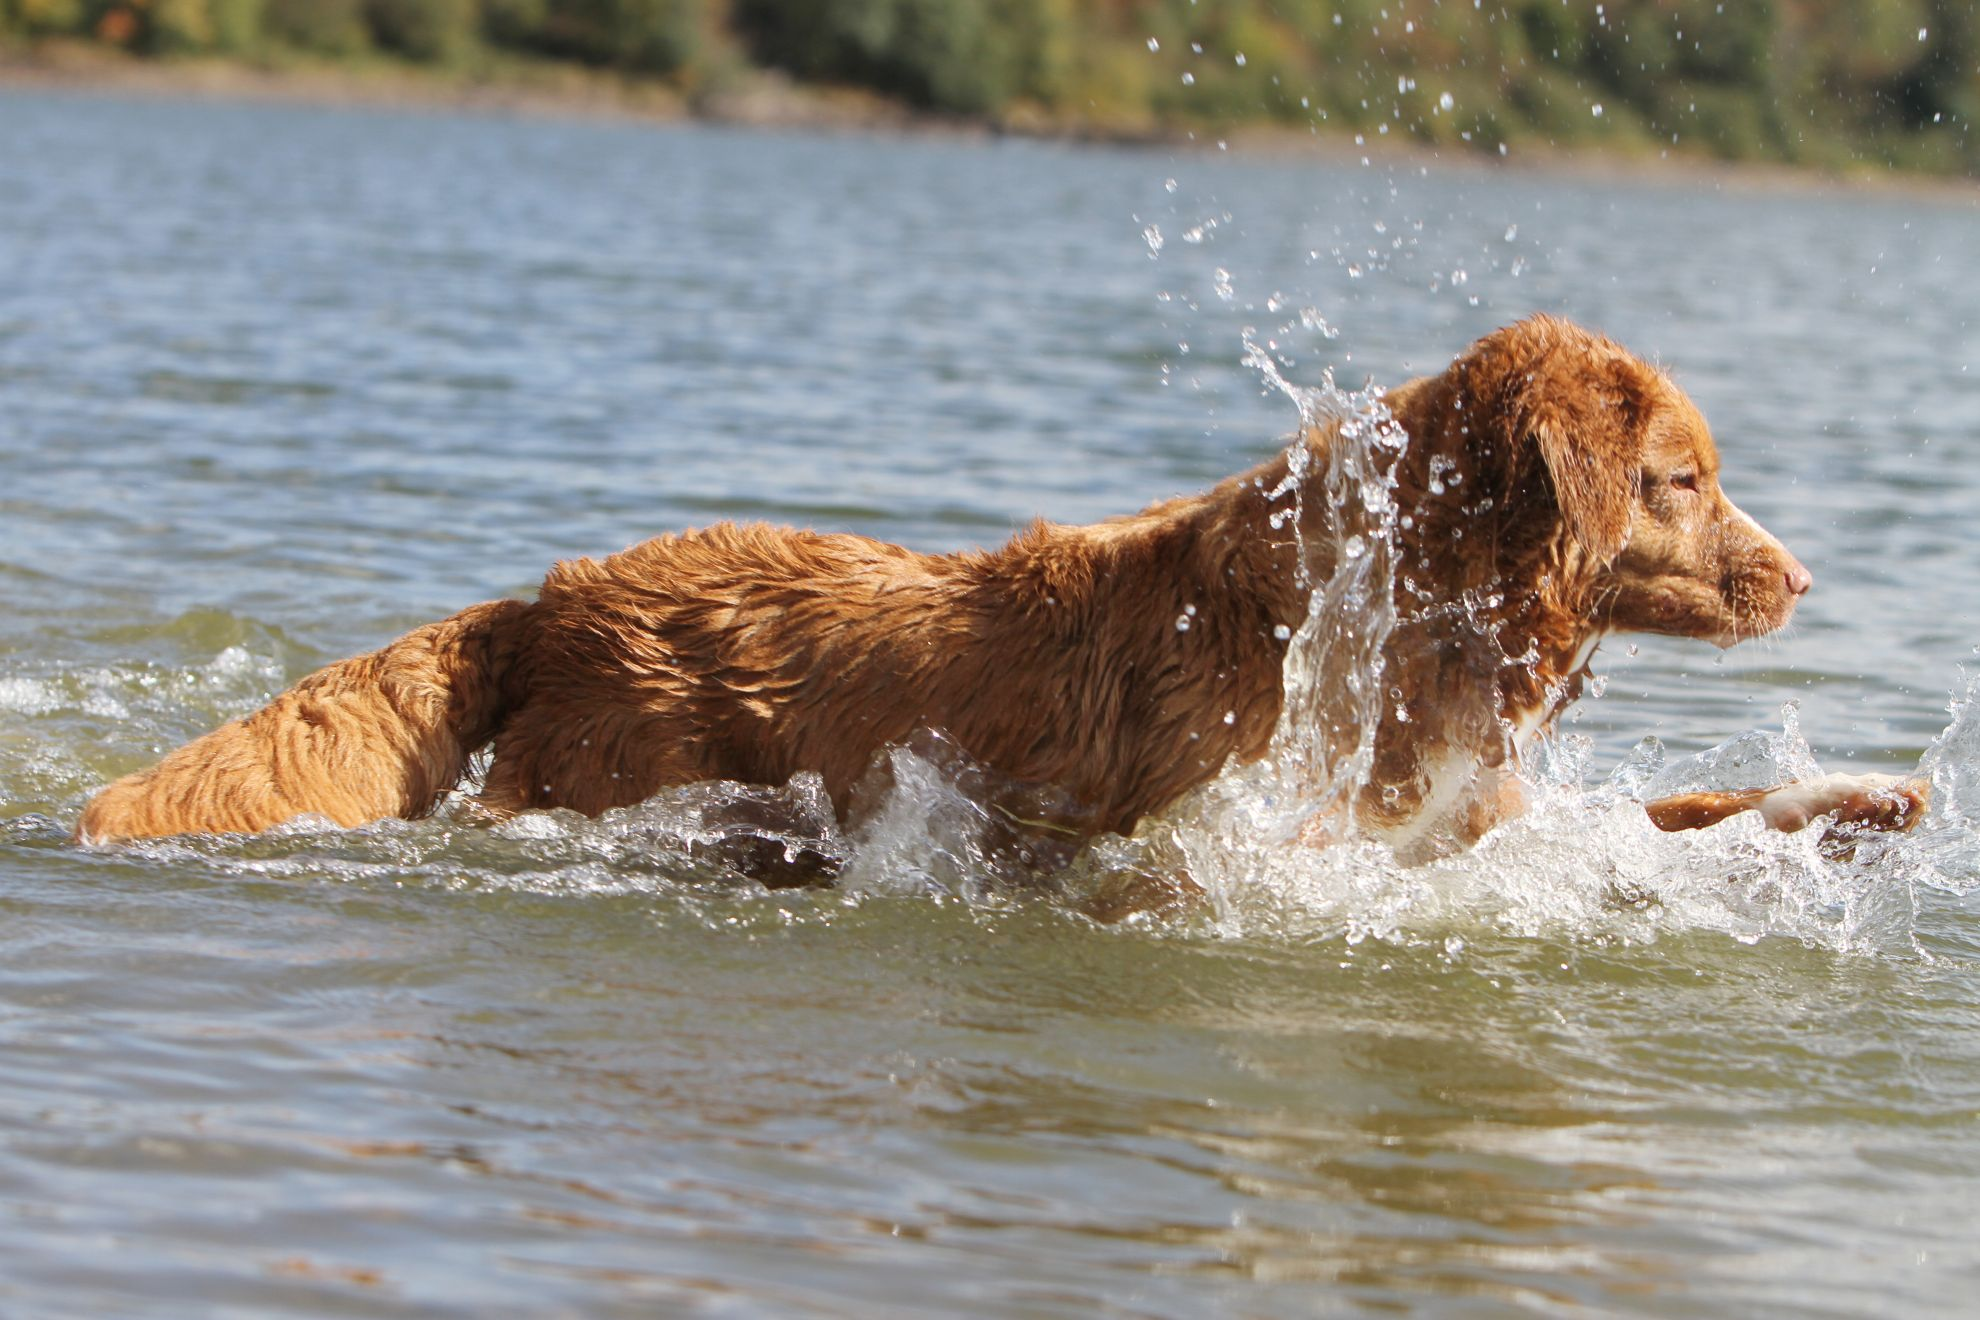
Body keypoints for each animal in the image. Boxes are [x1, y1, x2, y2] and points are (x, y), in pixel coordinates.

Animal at [77, 318, 1916, 858]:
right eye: (1686, 480)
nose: (1806, 571)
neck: (1389, 599)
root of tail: (553, 593)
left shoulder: (1483, 810)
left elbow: (1678, 814)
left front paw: (1868, 798)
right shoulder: (1224, 837)